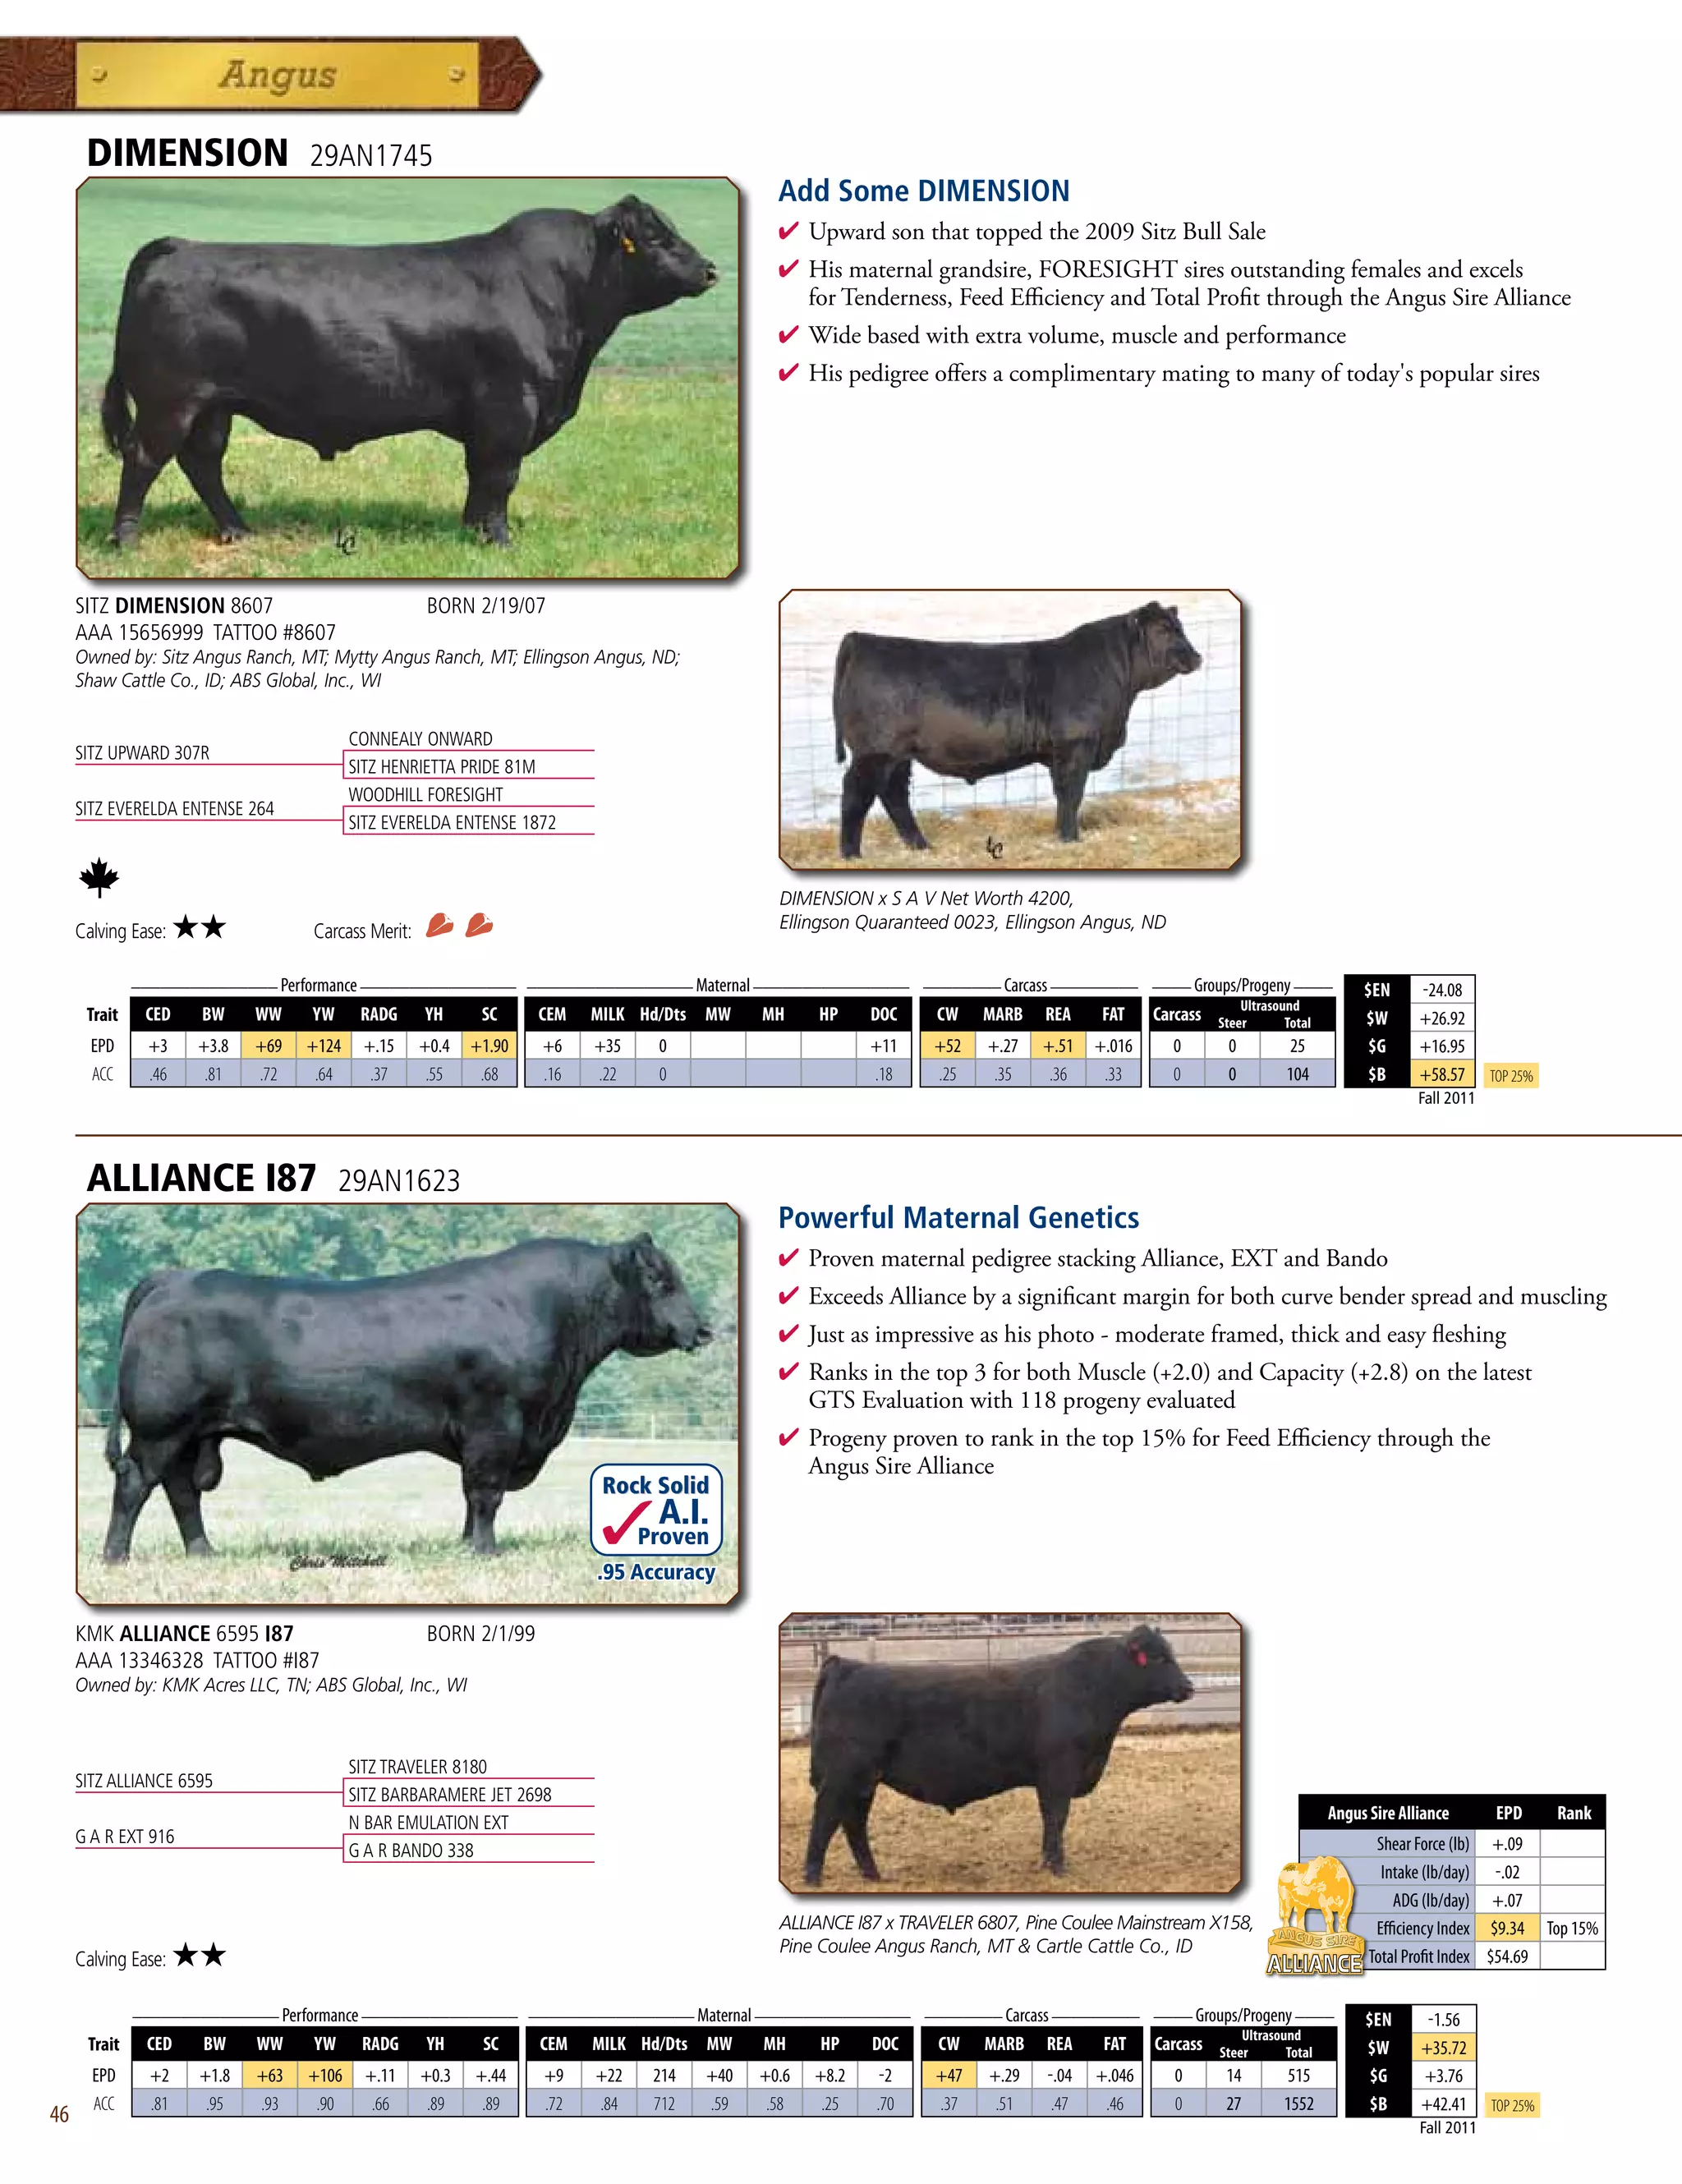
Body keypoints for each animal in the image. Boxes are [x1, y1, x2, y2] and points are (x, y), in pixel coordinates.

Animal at [100, 196, 719, 548]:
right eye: (656, 237)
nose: (711, 268)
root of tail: (180, 246)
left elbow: (480, 478)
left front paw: (472, 533)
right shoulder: (510, 407)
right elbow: (500, 477)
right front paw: (498, 542)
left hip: (213, 405)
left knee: (202, 462)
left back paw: (237, 530)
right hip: (170, 400)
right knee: (144, 458)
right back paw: (126, 540)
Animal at [101, 1234, 714, 1560]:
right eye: (661, 1282)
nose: (704, 1330)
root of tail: (175, 1277)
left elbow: (470, 1496)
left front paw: (465, 1545)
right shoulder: (497, 1425)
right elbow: (486, 1493)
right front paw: (486, 1552)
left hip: (189, 1434)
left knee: (182, 1491)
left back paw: (203, 1551)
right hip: (160, 1428)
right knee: (135, 1483)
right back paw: (117, 1556)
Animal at [802, 1626, 1195, 1884]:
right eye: (1158, 1658)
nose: (1188, 1686)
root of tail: (846, 1665)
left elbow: (1052, 1819)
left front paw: (1048, 1863)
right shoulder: (1059, 1772)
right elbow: (1056, 1817)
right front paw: (1057, 1867)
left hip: (864, 1780)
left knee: (853, 1823)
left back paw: (873, 1875)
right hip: (842, 1775)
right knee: (825, 1819)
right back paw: (813, 1877)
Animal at [831, 603, 1203, 856]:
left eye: (1180, 626)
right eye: (1163, 629)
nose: (1197, 657)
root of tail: (862, 640)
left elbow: (1064, 796)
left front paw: (1062, 836)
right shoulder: (1076, 745)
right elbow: (1072, 794)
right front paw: (1071, 838)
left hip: (898, 754)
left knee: (893, 795)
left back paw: (922, 846)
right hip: (876, 751)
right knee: (856, 794)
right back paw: (852, 855)